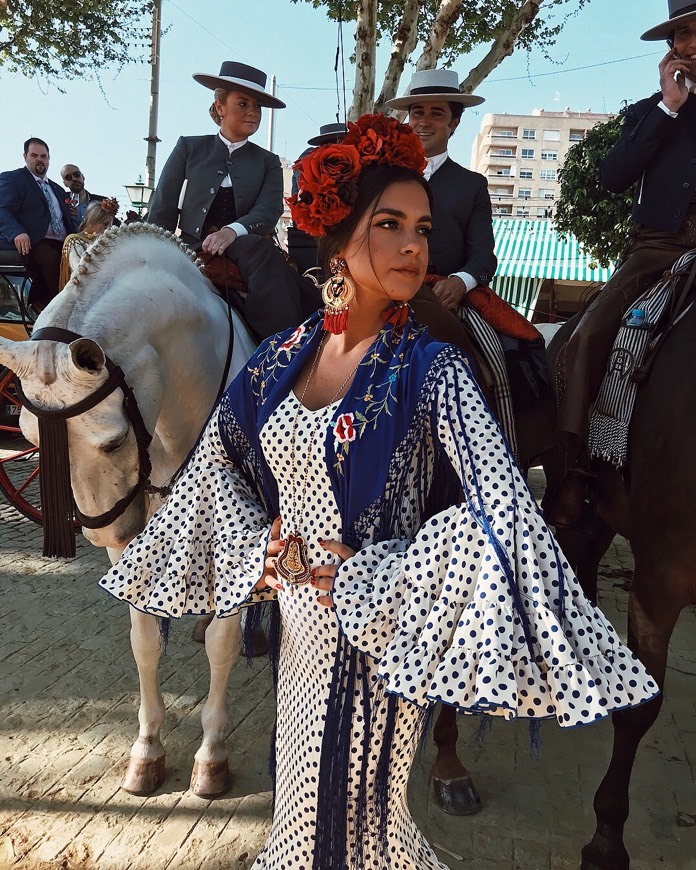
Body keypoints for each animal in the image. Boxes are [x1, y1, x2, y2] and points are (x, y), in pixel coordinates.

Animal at [0, 223, 256, 796]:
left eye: (114, 442)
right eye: (30, 441)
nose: (105, 536)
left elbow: (223, 642)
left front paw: (212, 754)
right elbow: (143, 642)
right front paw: (147, 747)